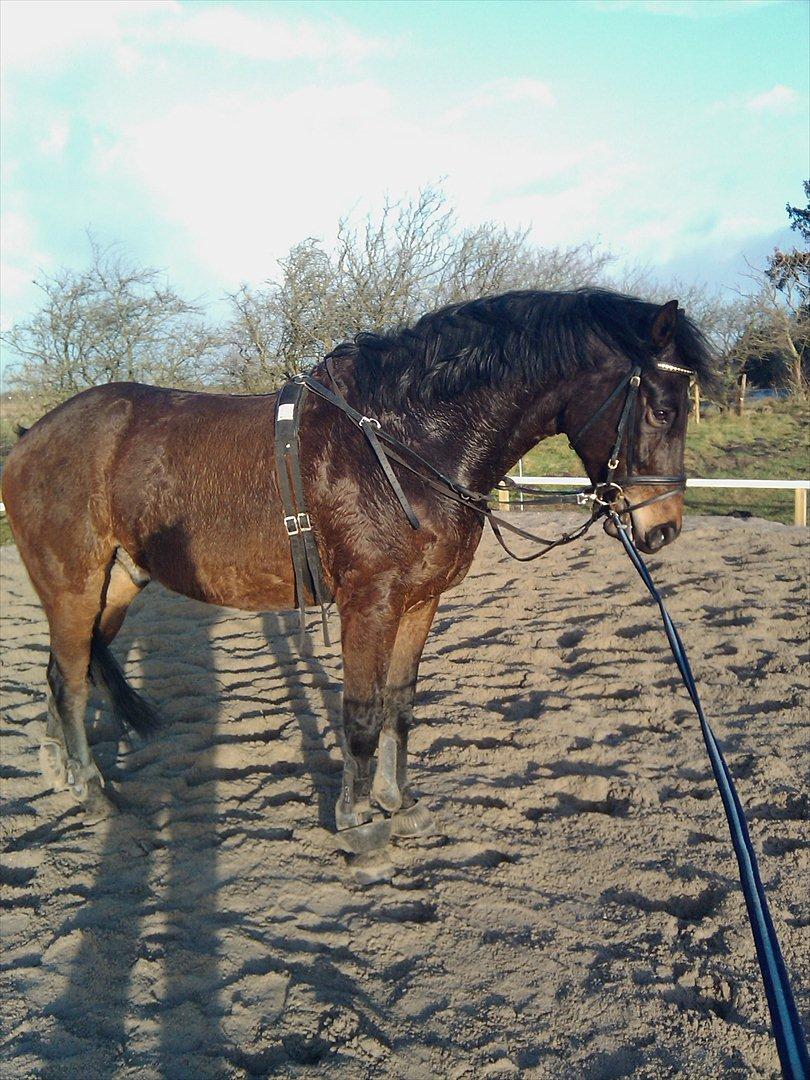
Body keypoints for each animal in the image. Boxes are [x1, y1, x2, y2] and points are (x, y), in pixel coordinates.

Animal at [1, 291, 708, 881]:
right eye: (663, 410)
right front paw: (358, 826)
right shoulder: (370, 602)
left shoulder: (420, 602)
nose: (664, 528)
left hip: (115, 586)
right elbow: (363, 714)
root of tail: (31, 437)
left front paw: (399, 802)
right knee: (69, 680)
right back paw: (93, 789)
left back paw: (59, 768)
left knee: (62, 670)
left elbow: (400, 705)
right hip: (73, 585)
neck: (401, 444)